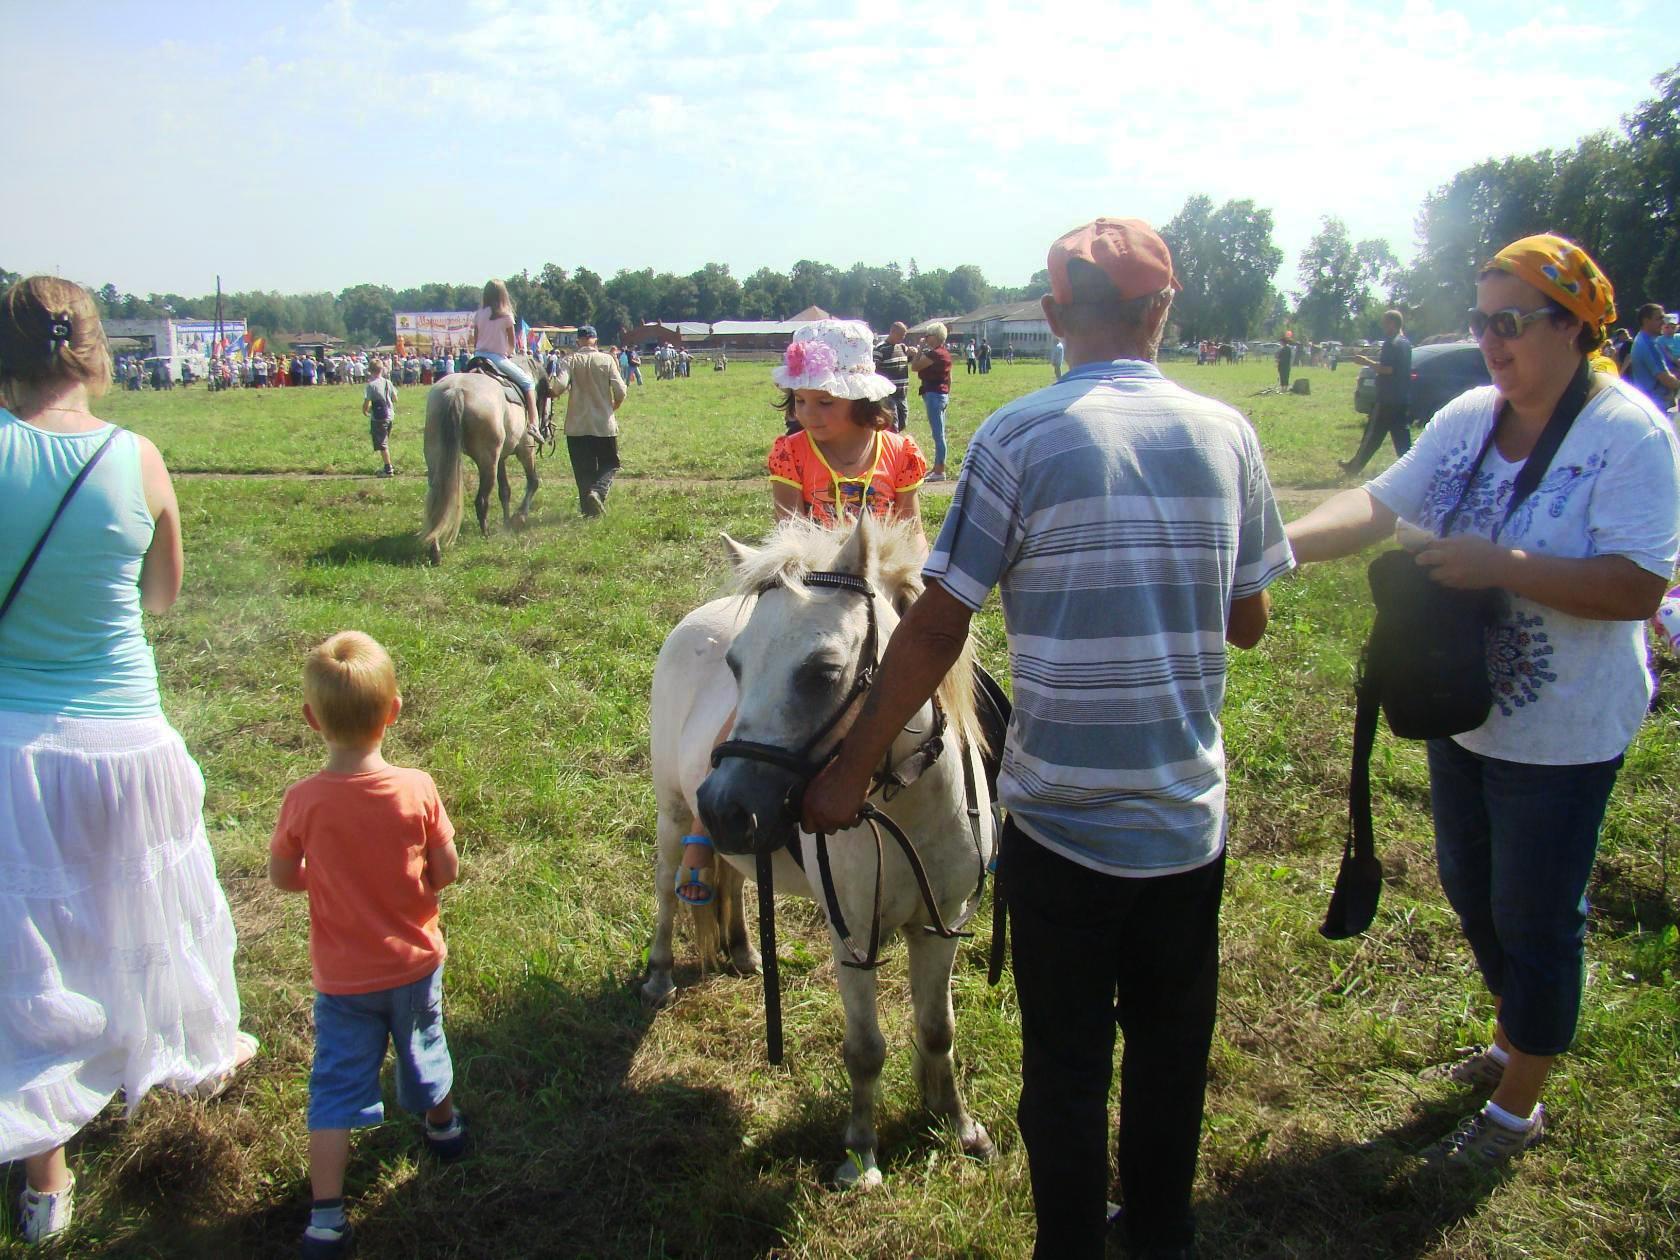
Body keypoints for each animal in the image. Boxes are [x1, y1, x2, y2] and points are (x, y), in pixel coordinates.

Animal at [641, 517, 994, 1189]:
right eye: (736, 666)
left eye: (823, 671)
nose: (723, 808)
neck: (907, 807)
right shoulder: (851, 938)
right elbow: (865, 1050)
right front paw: (860, 1154)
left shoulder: (940, 925)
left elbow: (938, 1030)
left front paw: (956, 1123)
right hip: (673, 818)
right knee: (667, 894)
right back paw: (660, 974)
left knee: (737, 882)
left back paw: (745, 952)